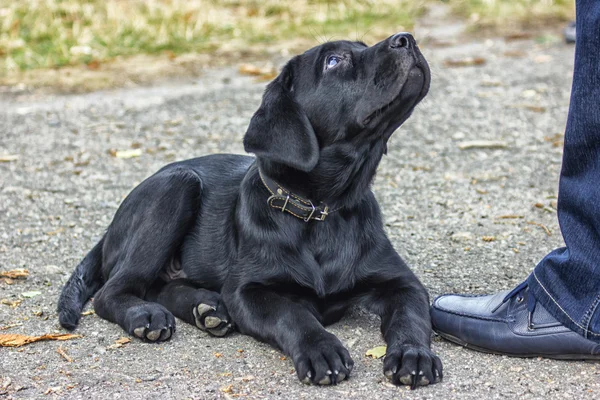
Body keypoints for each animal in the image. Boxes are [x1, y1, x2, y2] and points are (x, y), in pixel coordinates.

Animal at [58, 32, 442, 390]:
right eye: (334, 61)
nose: (407, 38)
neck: (321, 212)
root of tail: (110, 228)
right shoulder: (248, 291)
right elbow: (292, 313)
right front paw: (321, 349)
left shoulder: (401, 282)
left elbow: (411, 317)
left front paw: (413, 355)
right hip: (175, 187)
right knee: (113, 292)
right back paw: (147, 315)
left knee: (159, 285)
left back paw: (207, 308)